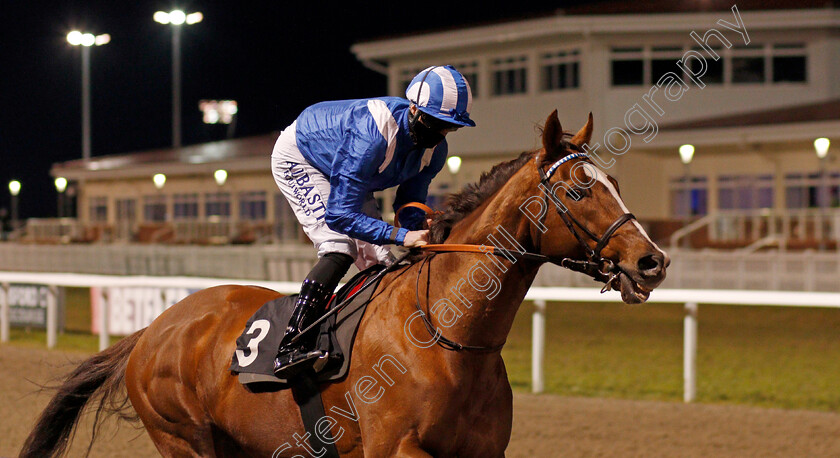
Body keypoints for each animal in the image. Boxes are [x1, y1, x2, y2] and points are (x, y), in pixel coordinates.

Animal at [21, 112, 668, 458]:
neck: (447, 336)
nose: (652, 261)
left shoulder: (484, 450)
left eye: (614, 181)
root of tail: (152, 329)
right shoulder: (396, 448)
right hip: (183, 438)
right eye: (579, 189)